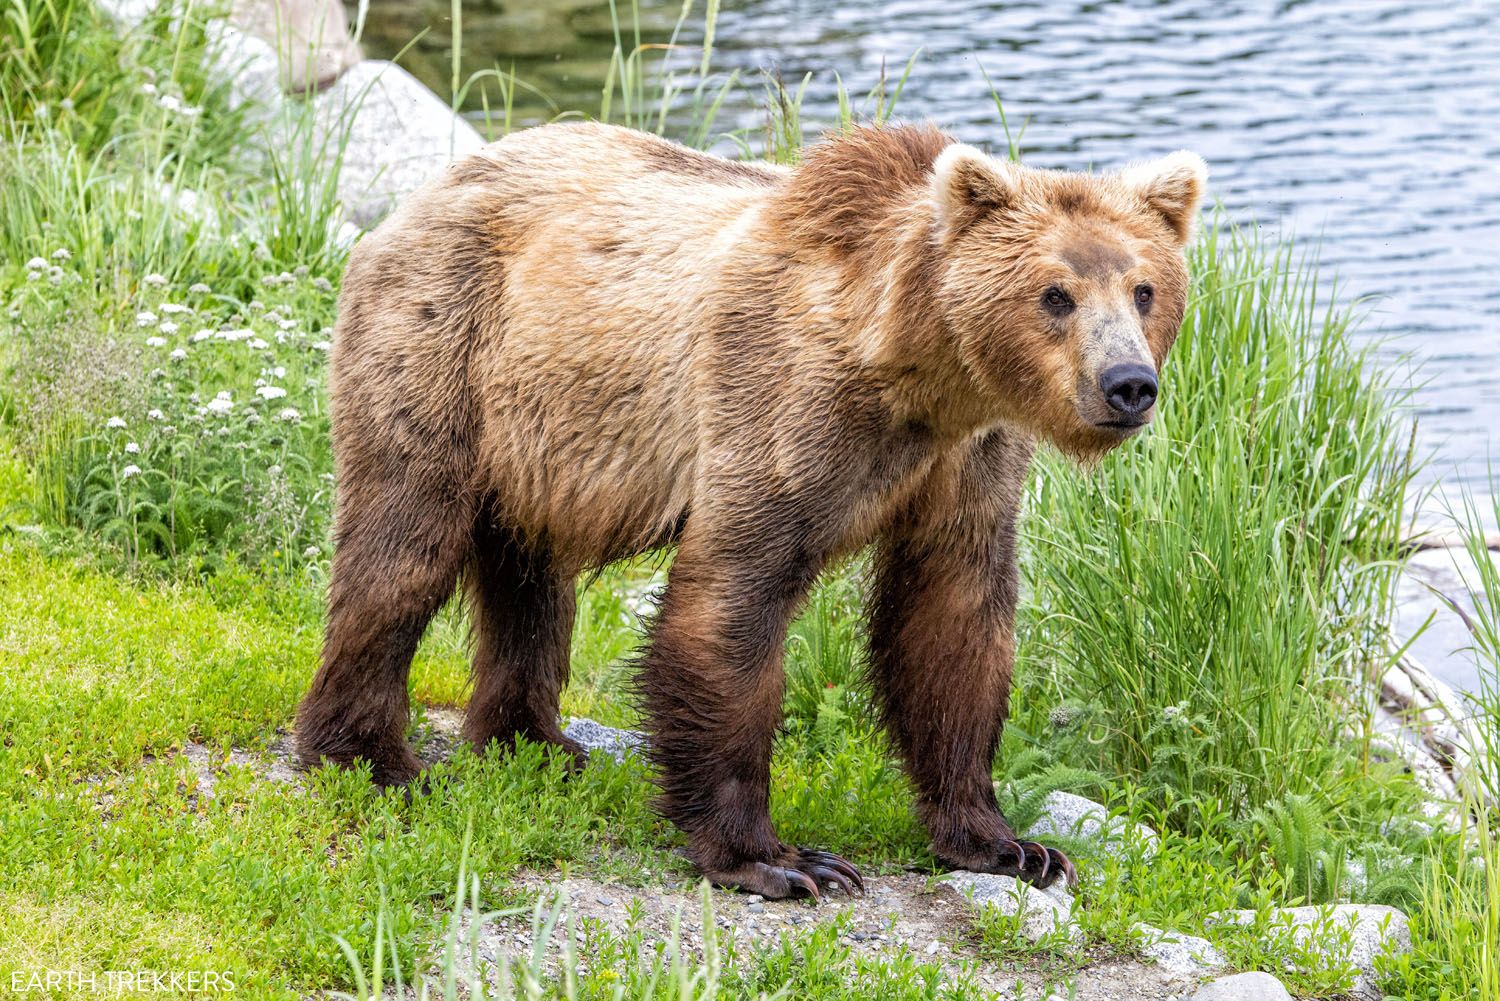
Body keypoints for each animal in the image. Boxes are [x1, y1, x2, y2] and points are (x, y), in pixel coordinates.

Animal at [295, 121, 1206, 906]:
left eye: (1145, 288)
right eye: (1055, 293)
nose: (1128, 383)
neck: (915, 374)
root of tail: (422, 196)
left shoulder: (966, 461)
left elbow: (952, 615)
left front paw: (1011, 843)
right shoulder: (779, 401)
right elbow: (733, 600)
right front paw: (780, 860)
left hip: (540, 434)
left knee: (530, 574)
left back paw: (537, 743)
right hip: (445, 348)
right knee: (404, 544)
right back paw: (370, 756)